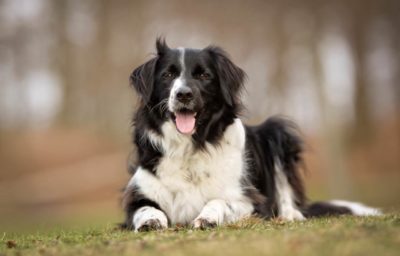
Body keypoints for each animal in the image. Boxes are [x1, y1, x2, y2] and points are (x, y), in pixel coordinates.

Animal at [122, 38, 382, 232]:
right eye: (167, 75)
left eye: (204, 75)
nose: (183, 94)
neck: (192, 145)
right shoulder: (137, 197)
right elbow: (145, 208)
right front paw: (150, 220)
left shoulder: (251, 202)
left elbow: (219, 200)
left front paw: (208, 217)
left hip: (277, 131)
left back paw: (289, 216)